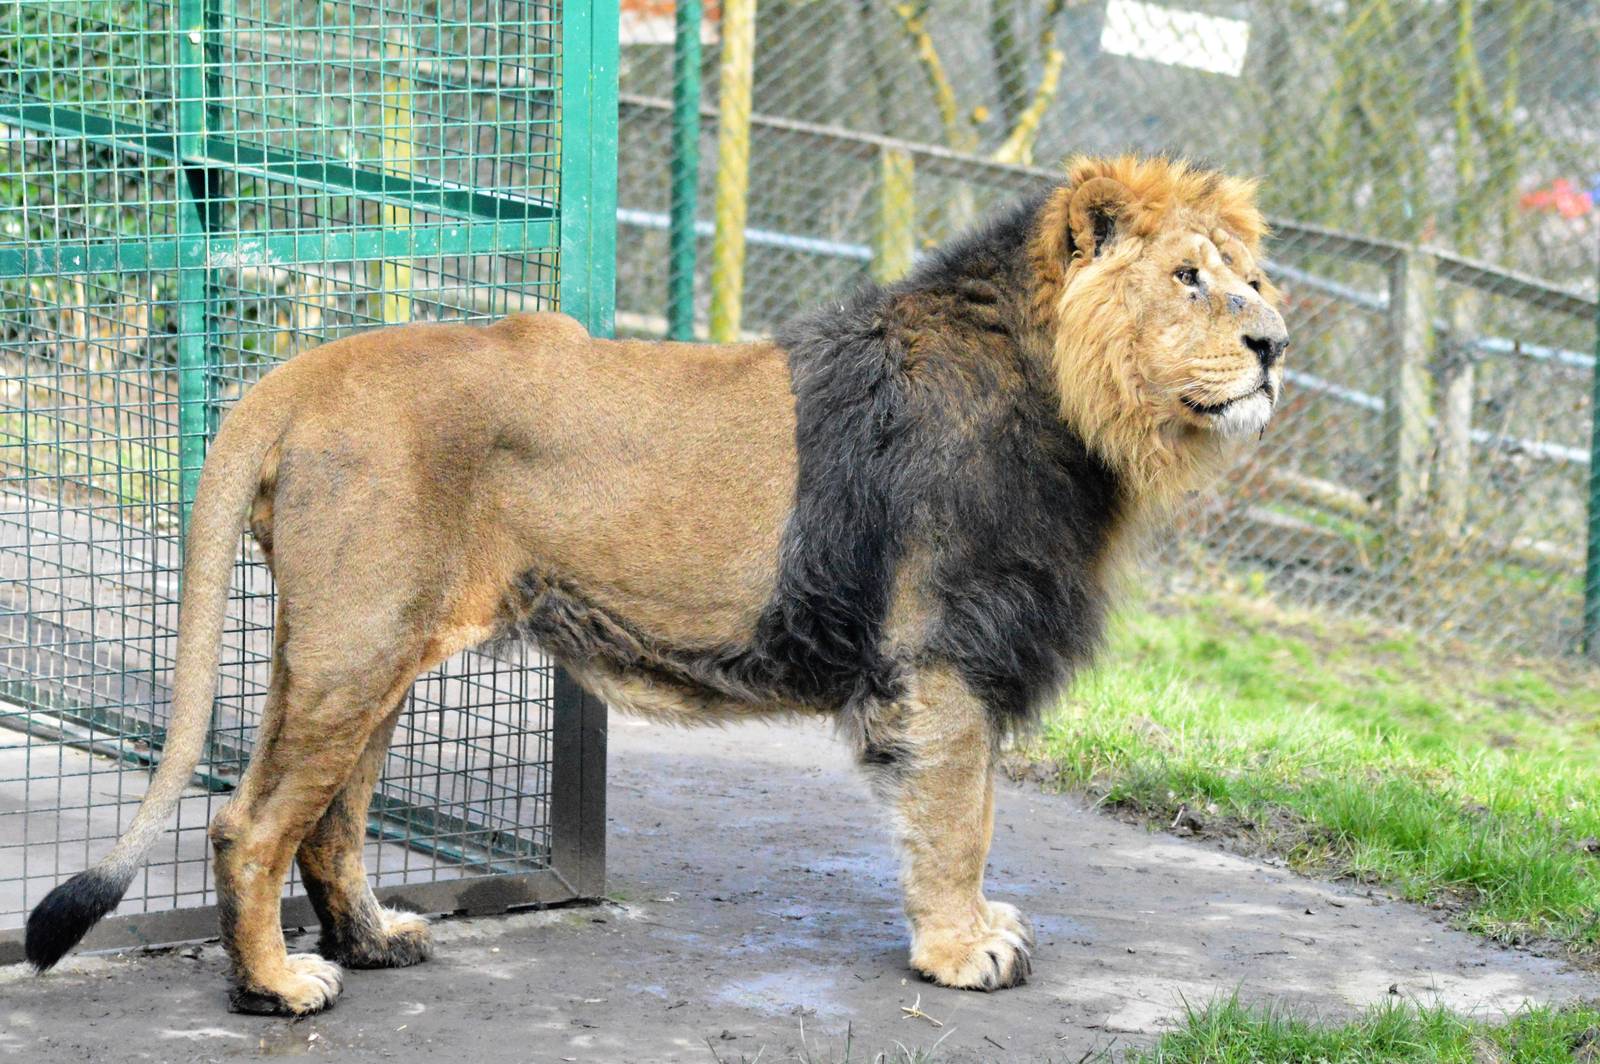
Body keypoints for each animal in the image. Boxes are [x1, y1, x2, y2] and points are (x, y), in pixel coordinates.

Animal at [25, 155, 1286, 1013]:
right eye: (1188, 279)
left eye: (1255, 277)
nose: (1275, 342)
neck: (1081, 415)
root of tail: (307, 367)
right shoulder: (940, 658)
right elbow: (956, 817)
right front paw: (961, 947)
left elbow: (966, 812)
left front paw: (981, 927)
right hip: (358, 642)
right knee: (248, 821)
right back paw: (277, 987)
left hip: (365, 648)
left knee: (327, 819)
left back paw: (374, 940)